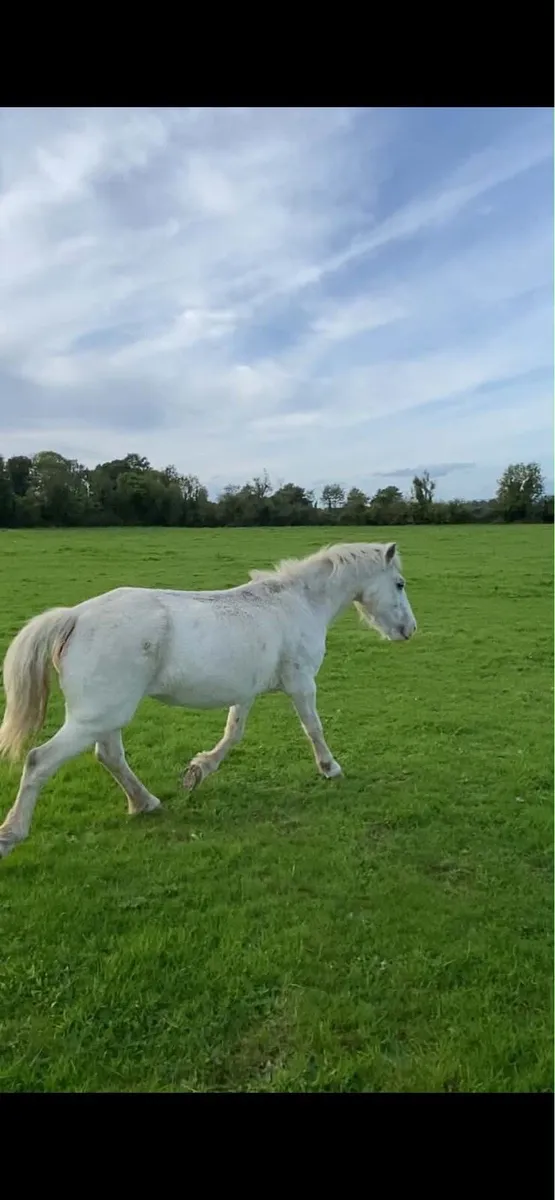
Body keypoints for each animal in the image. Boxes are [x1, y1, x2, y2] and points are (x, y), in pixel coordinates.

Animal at [0, 540, 417, 858]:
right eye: (399, 584)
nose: (410, 630)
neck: (299, 603)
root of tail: (75, 616)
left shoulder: (245, 691)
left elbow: (233, 732)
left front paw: (198, 770)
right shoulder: (301, 682)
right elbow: (313, 728)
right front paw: (330, 768)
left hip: (106, 715)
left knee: (109, 756)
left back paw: (145, 803)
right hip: (95, 716)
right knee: (39, 761)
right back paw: (11, 834)